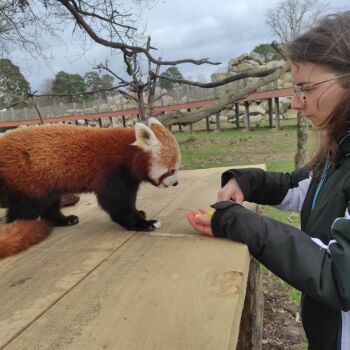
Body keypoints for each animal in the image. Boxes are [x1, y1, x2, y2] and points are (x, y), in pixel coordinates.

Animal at [0, 119, 180, 258]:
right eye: (171, 170)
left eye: (177, 168)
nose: (176, 183)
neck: (128, 154)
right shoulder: (112, 172)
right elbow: (115, 203)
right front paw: (142, 223)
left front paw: (139, 212)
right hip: (27, 180)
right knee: (25, 209)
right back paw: (22, 230)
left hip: (47, 181)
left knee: (50, 203)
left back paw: (64, 220)